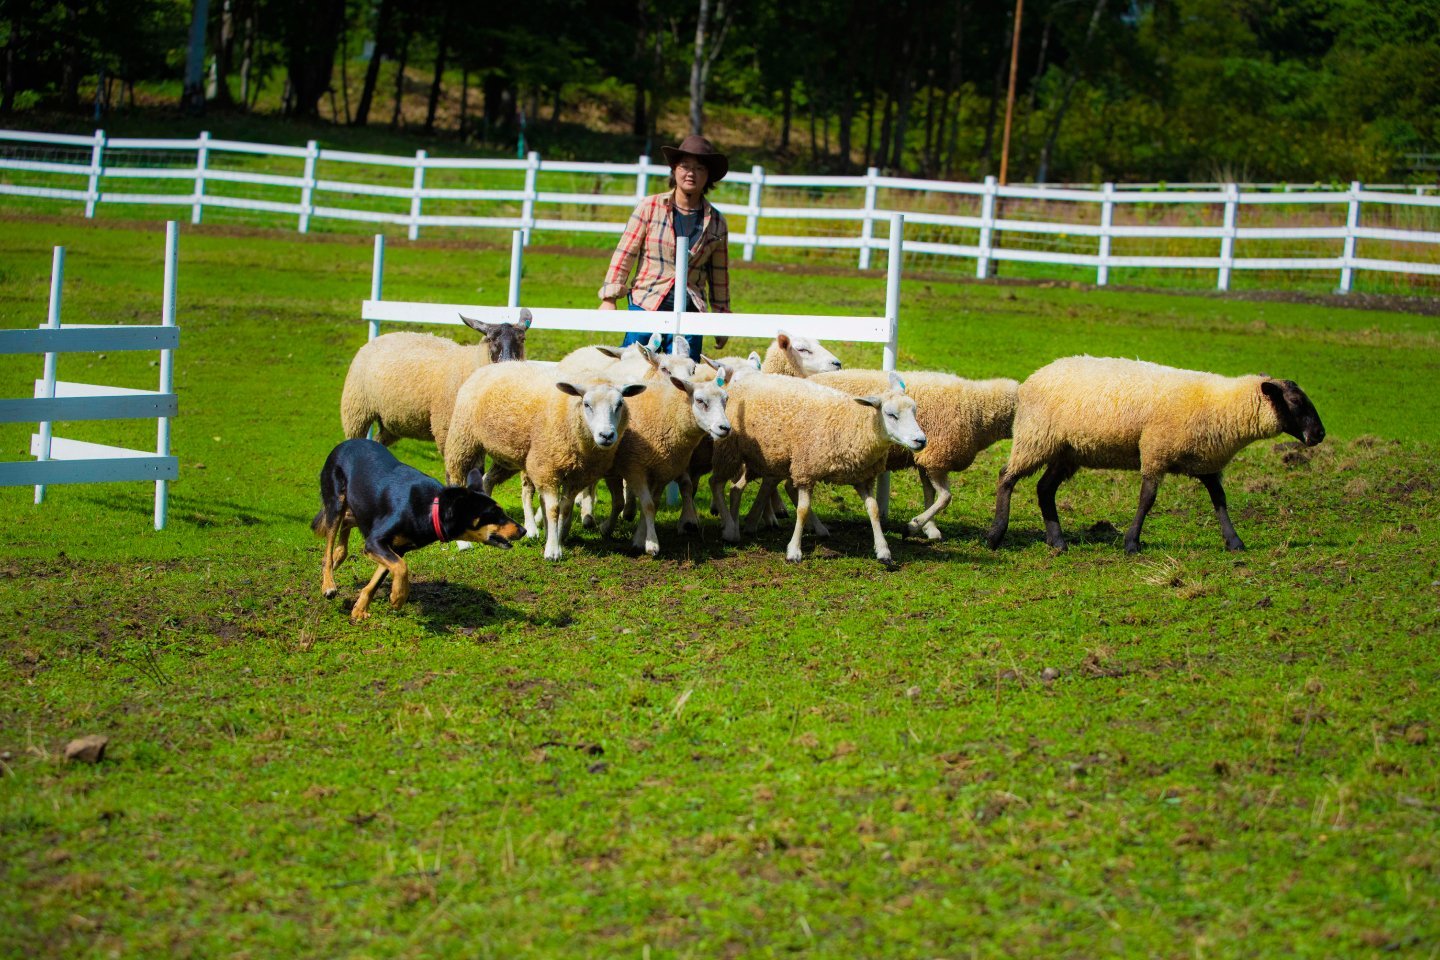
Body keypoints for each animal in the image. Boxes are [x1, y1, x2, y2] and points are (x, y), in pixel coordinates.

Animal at [312, 437, 527, 618]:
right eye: (494, 514)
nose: (523, 530)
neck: (431, 509)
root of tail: (345, 443)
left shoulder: (394, 548)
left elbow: (378, 579)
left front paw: (359, 609)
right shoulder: (375, 542)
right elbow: (401, 567)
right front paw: (398, 598)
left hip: (359, 506)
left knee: (347, 522)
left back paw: (338, 557)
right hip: (336, 502)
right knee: (327, 550)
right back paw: (328, 583)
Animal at [708, 371, 921, 567]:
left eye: (915, 411)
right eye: (891, 415)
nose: (921, 440)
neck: (852, 424)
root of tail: (741, 380)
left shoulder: (862, 478)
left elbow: (874, 509)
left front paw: (884, 551)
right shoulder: (806, 470)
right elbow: (802, 510)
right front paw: (794, 552)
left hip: (762, 460)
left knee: (736, 488)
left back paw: (740, 525)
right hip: (730, 450)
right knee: (716, 483)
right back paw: (730, 530)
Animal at [812, 365, 1025, 538]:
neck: (976, 409)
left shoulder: (926, 459)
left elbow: (929, 493)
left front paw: (929, 528)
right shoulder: (937, 458)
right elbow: (945, 497)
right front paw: (914, 526)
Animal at [984, 358, 1319, 555]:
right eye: (1296, 401)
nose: (1319, 434)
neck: (1219, 406)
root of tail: (1033, 377)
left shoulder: (1205, 461)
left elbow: (1220, 500)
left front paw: (1234, 541)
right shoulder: (1156, 450)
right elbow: (1147, 499)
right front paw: (1132, 544)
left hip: (1067, 450)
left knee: (1044, 489)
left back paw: (1058, 541)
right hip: (1036, 437)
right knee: (1006, 477)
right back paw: (996, 535)